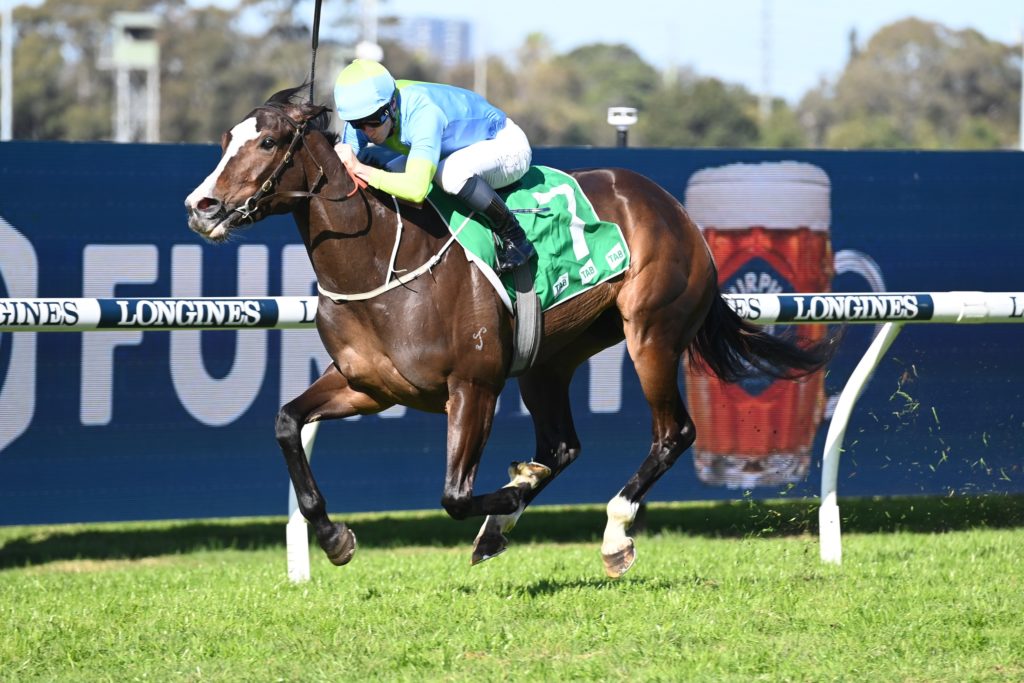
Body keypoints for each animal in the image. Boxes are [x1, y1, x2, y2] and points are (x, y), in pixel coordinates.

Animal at [184, 85, 834, 577]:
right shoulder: (368, 385)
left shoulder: (473, 387)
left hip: (651, 332)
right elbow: (286, 422)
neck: (382, 265)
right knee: (564, 445)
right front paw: (334, 537)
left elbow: (454, 495)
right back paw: (510, 519)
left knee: (674, 432)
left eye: (268, 142)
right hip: (550, 359)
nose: (201, 206)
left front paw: (514, 491)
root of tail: (676, 209)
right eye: (224, 142)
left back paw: (613, 534)